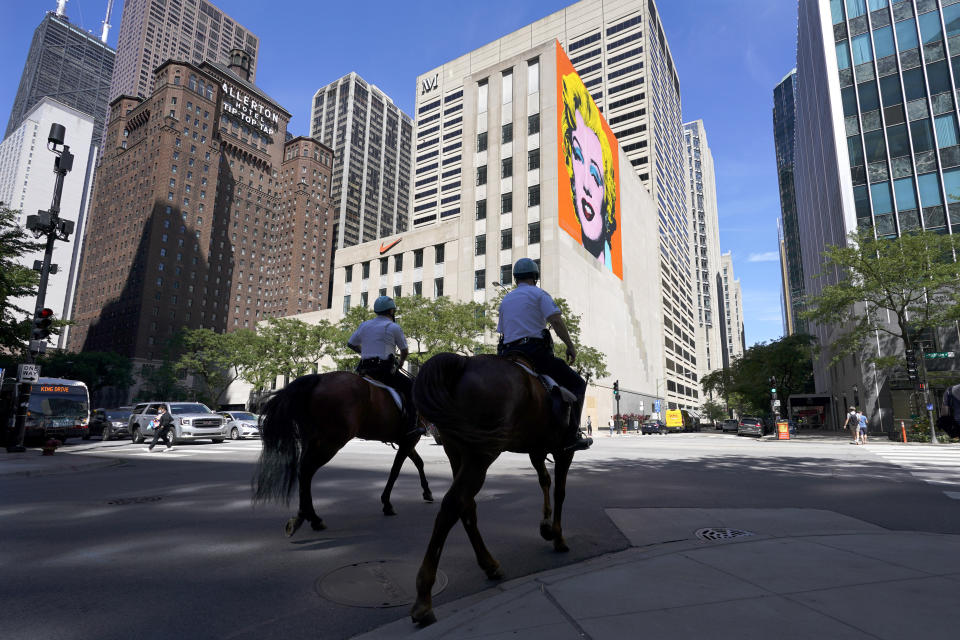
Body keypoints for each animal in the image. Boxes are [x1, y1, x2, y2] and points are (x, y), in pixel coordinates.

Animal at [255, 370, 436, 536]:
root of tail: (319, 378)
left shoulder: (405, 441)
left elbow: (418, 462)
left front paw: (427, 492)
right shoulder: (410, 439)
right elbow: (396, 470)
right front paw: (387, 503)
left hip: (314, 440)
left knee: (303, 471)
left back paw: (306, 516)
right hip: (332, 442)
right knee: (307, 470)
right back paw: (311, 518)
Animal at [408, 350, 580, 624]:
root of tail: (464, 363)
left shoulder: (536, 449)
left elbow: (544, 480)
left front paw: (546, 527)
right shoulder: (563, 451)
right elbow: (560, 491)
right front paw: (558, 536)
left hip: (457, 451)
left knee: (466, 506)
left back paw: (489, 564)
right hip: (482, 453)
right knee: (452, 505)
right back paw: (424, 598)